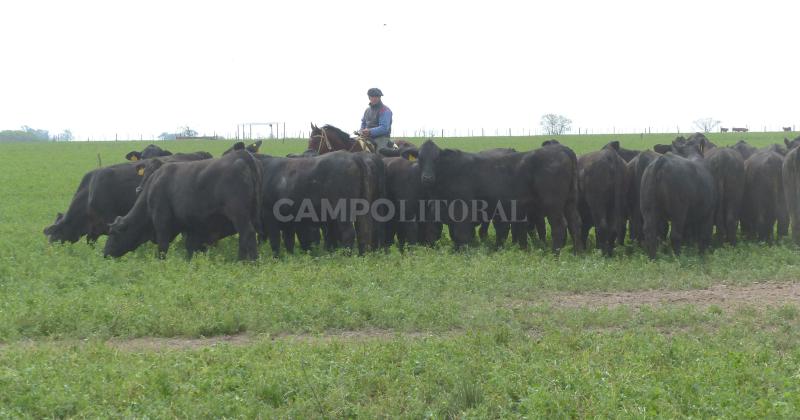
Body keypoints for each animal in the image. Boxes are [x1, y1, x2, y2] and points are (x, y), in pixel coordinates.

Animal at [104, 151, 262, 260]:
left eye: (113, 234)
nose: (104, 253)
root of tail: (242, 155)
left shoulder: (161, 222)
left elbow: (163, 247)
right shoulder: (192, 227)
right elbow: (190, 247)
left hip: (239, 215)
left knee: (247, 234)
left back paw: (248, 262)